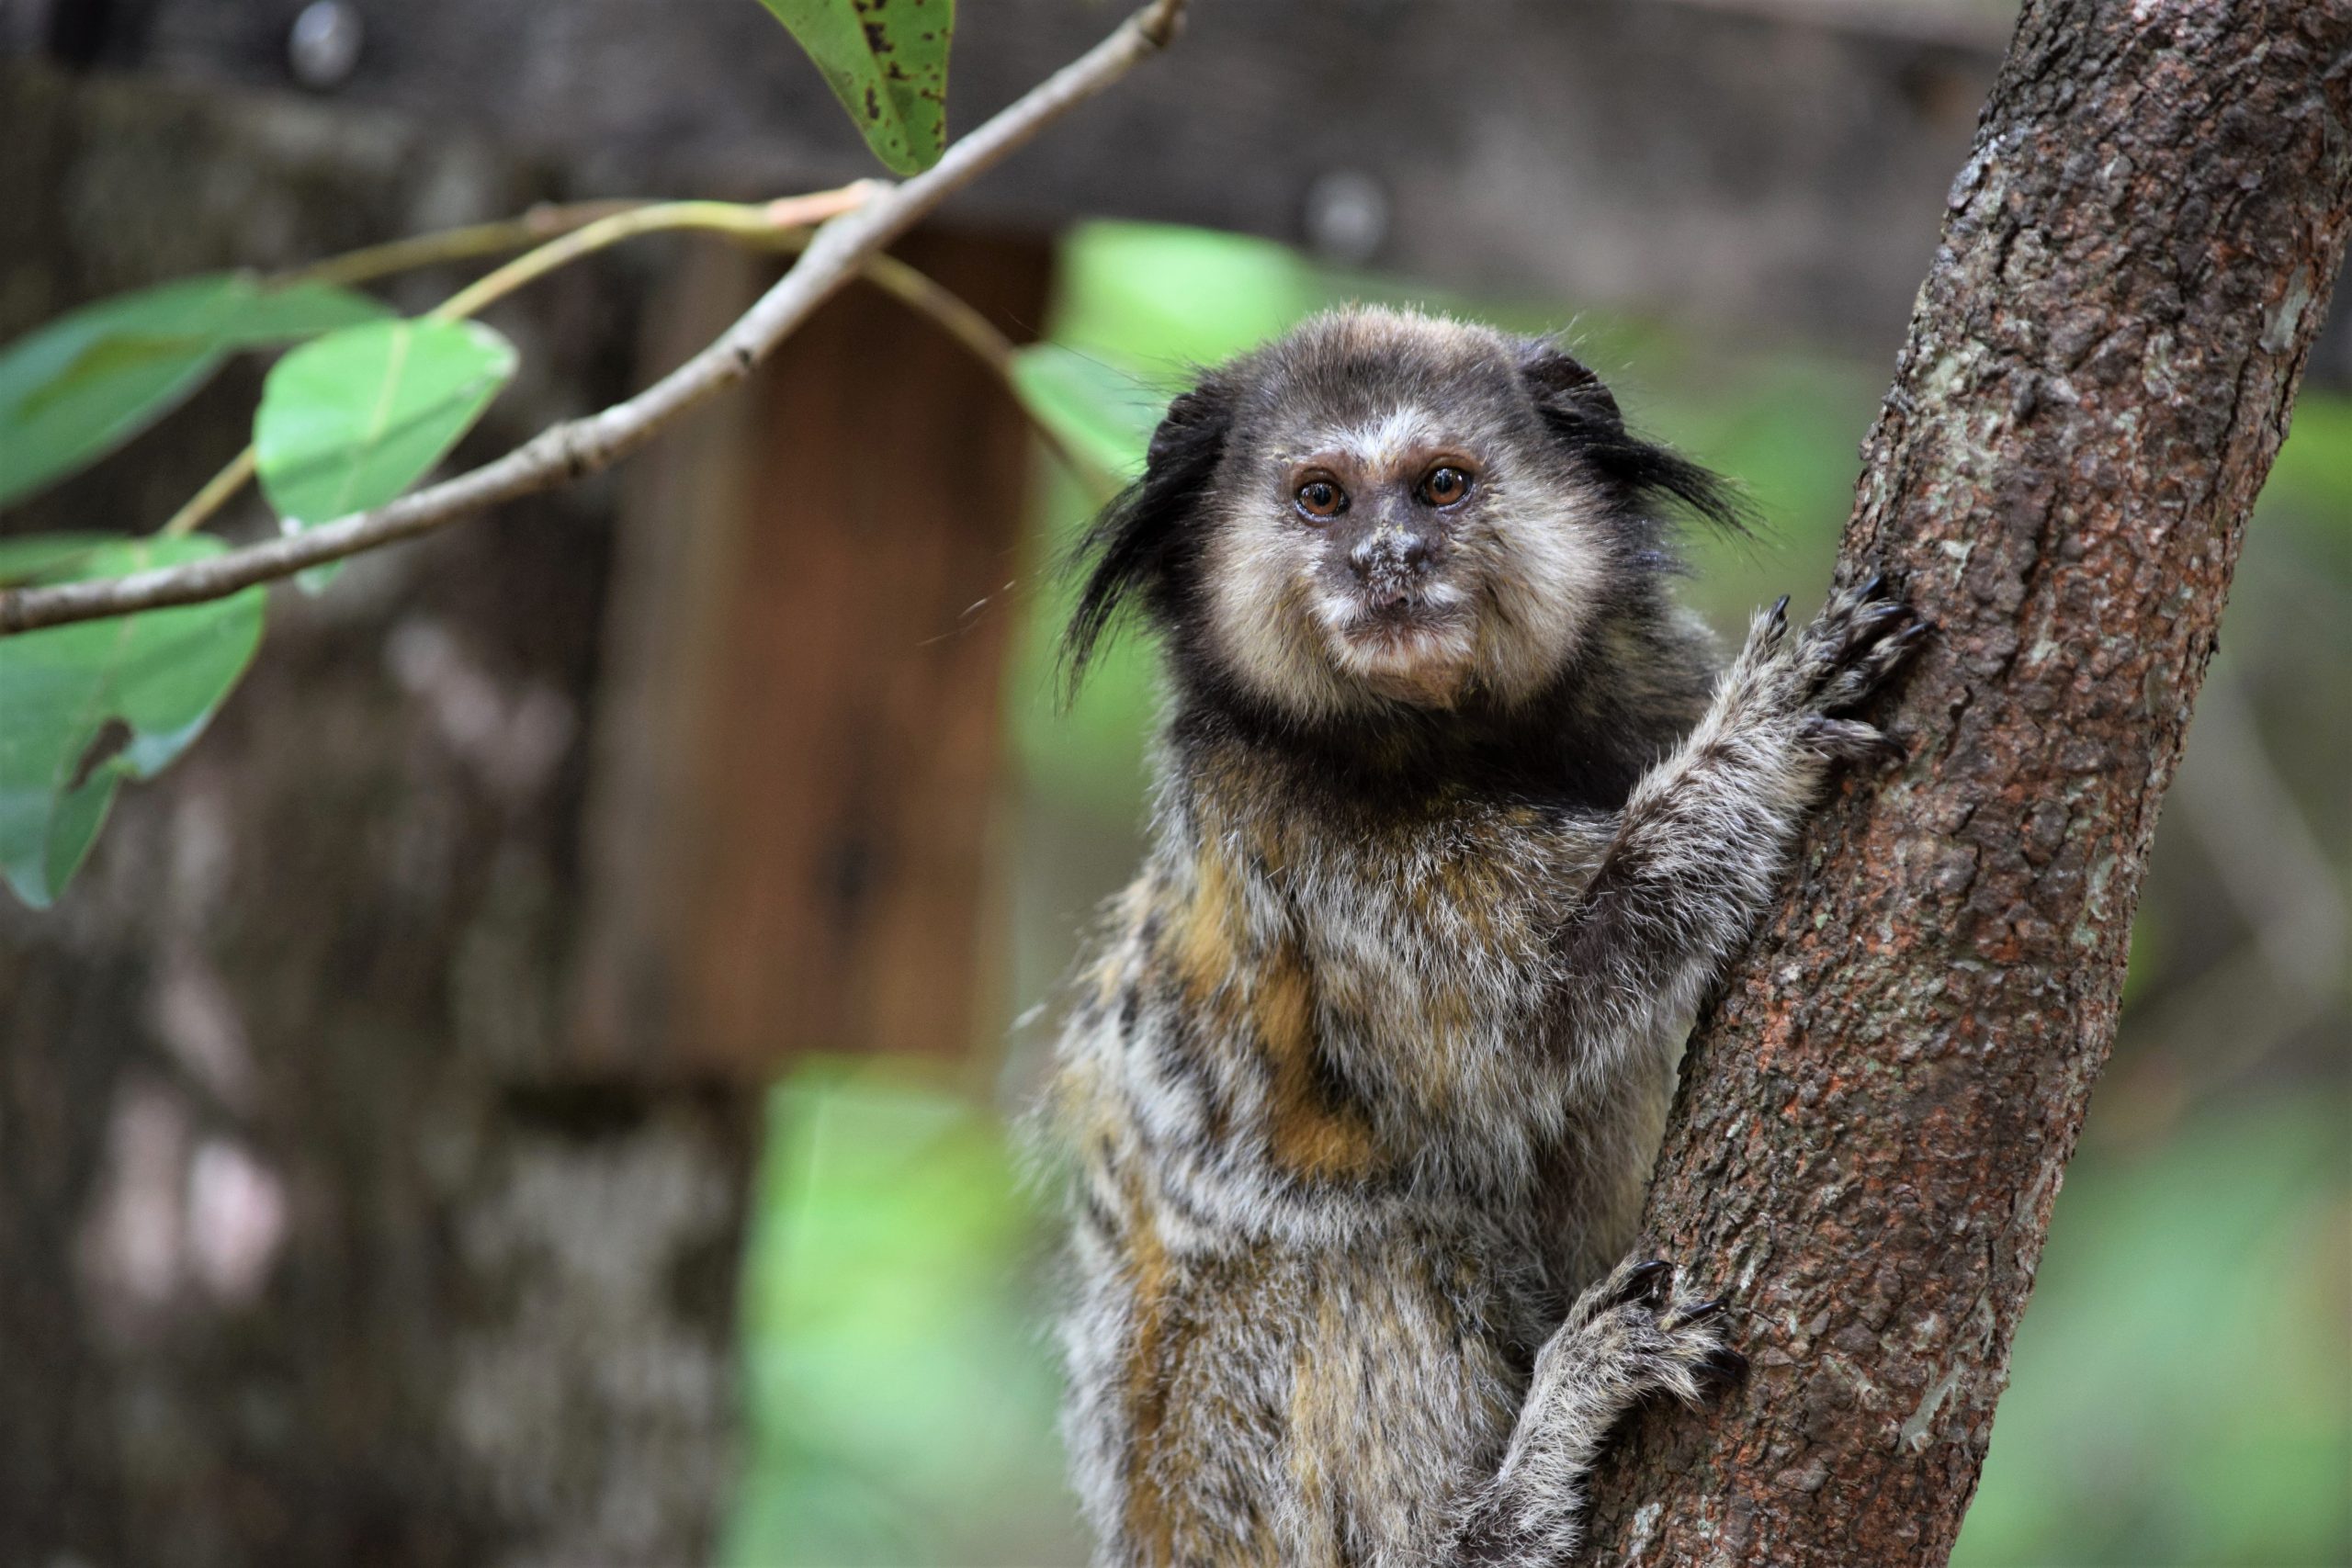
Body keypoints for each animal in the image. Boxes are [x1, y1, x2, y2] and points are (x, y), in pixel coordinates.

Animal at [1039, 300, 1918, 1561]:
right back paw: (1516, 1491)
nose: (1388, 561)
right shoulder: (1309, 845)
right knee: (1367, 1256)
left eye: (1442, 484)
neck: (1456, 741)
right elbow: (1534, 1014)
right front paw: (1757, 744)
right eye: (1321, 498)